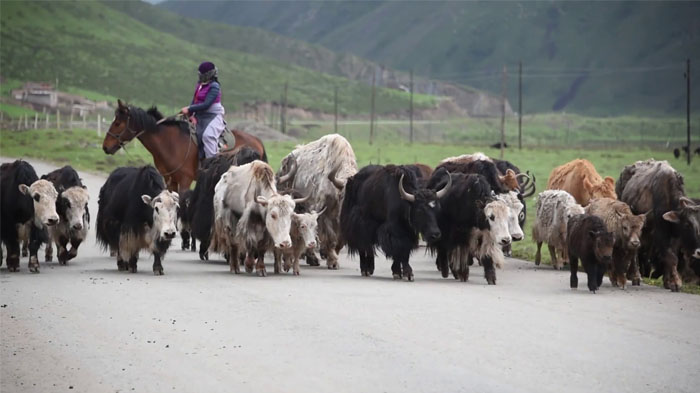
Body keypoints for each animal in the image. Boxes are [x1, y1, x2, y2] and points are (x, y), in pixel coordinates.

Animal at [102, 99, 266, 193]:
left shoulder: (185, 181)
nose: (105, 147)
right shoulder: (170, 181)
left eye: (118, 123)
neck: (169, 142)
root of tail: (256, 140)